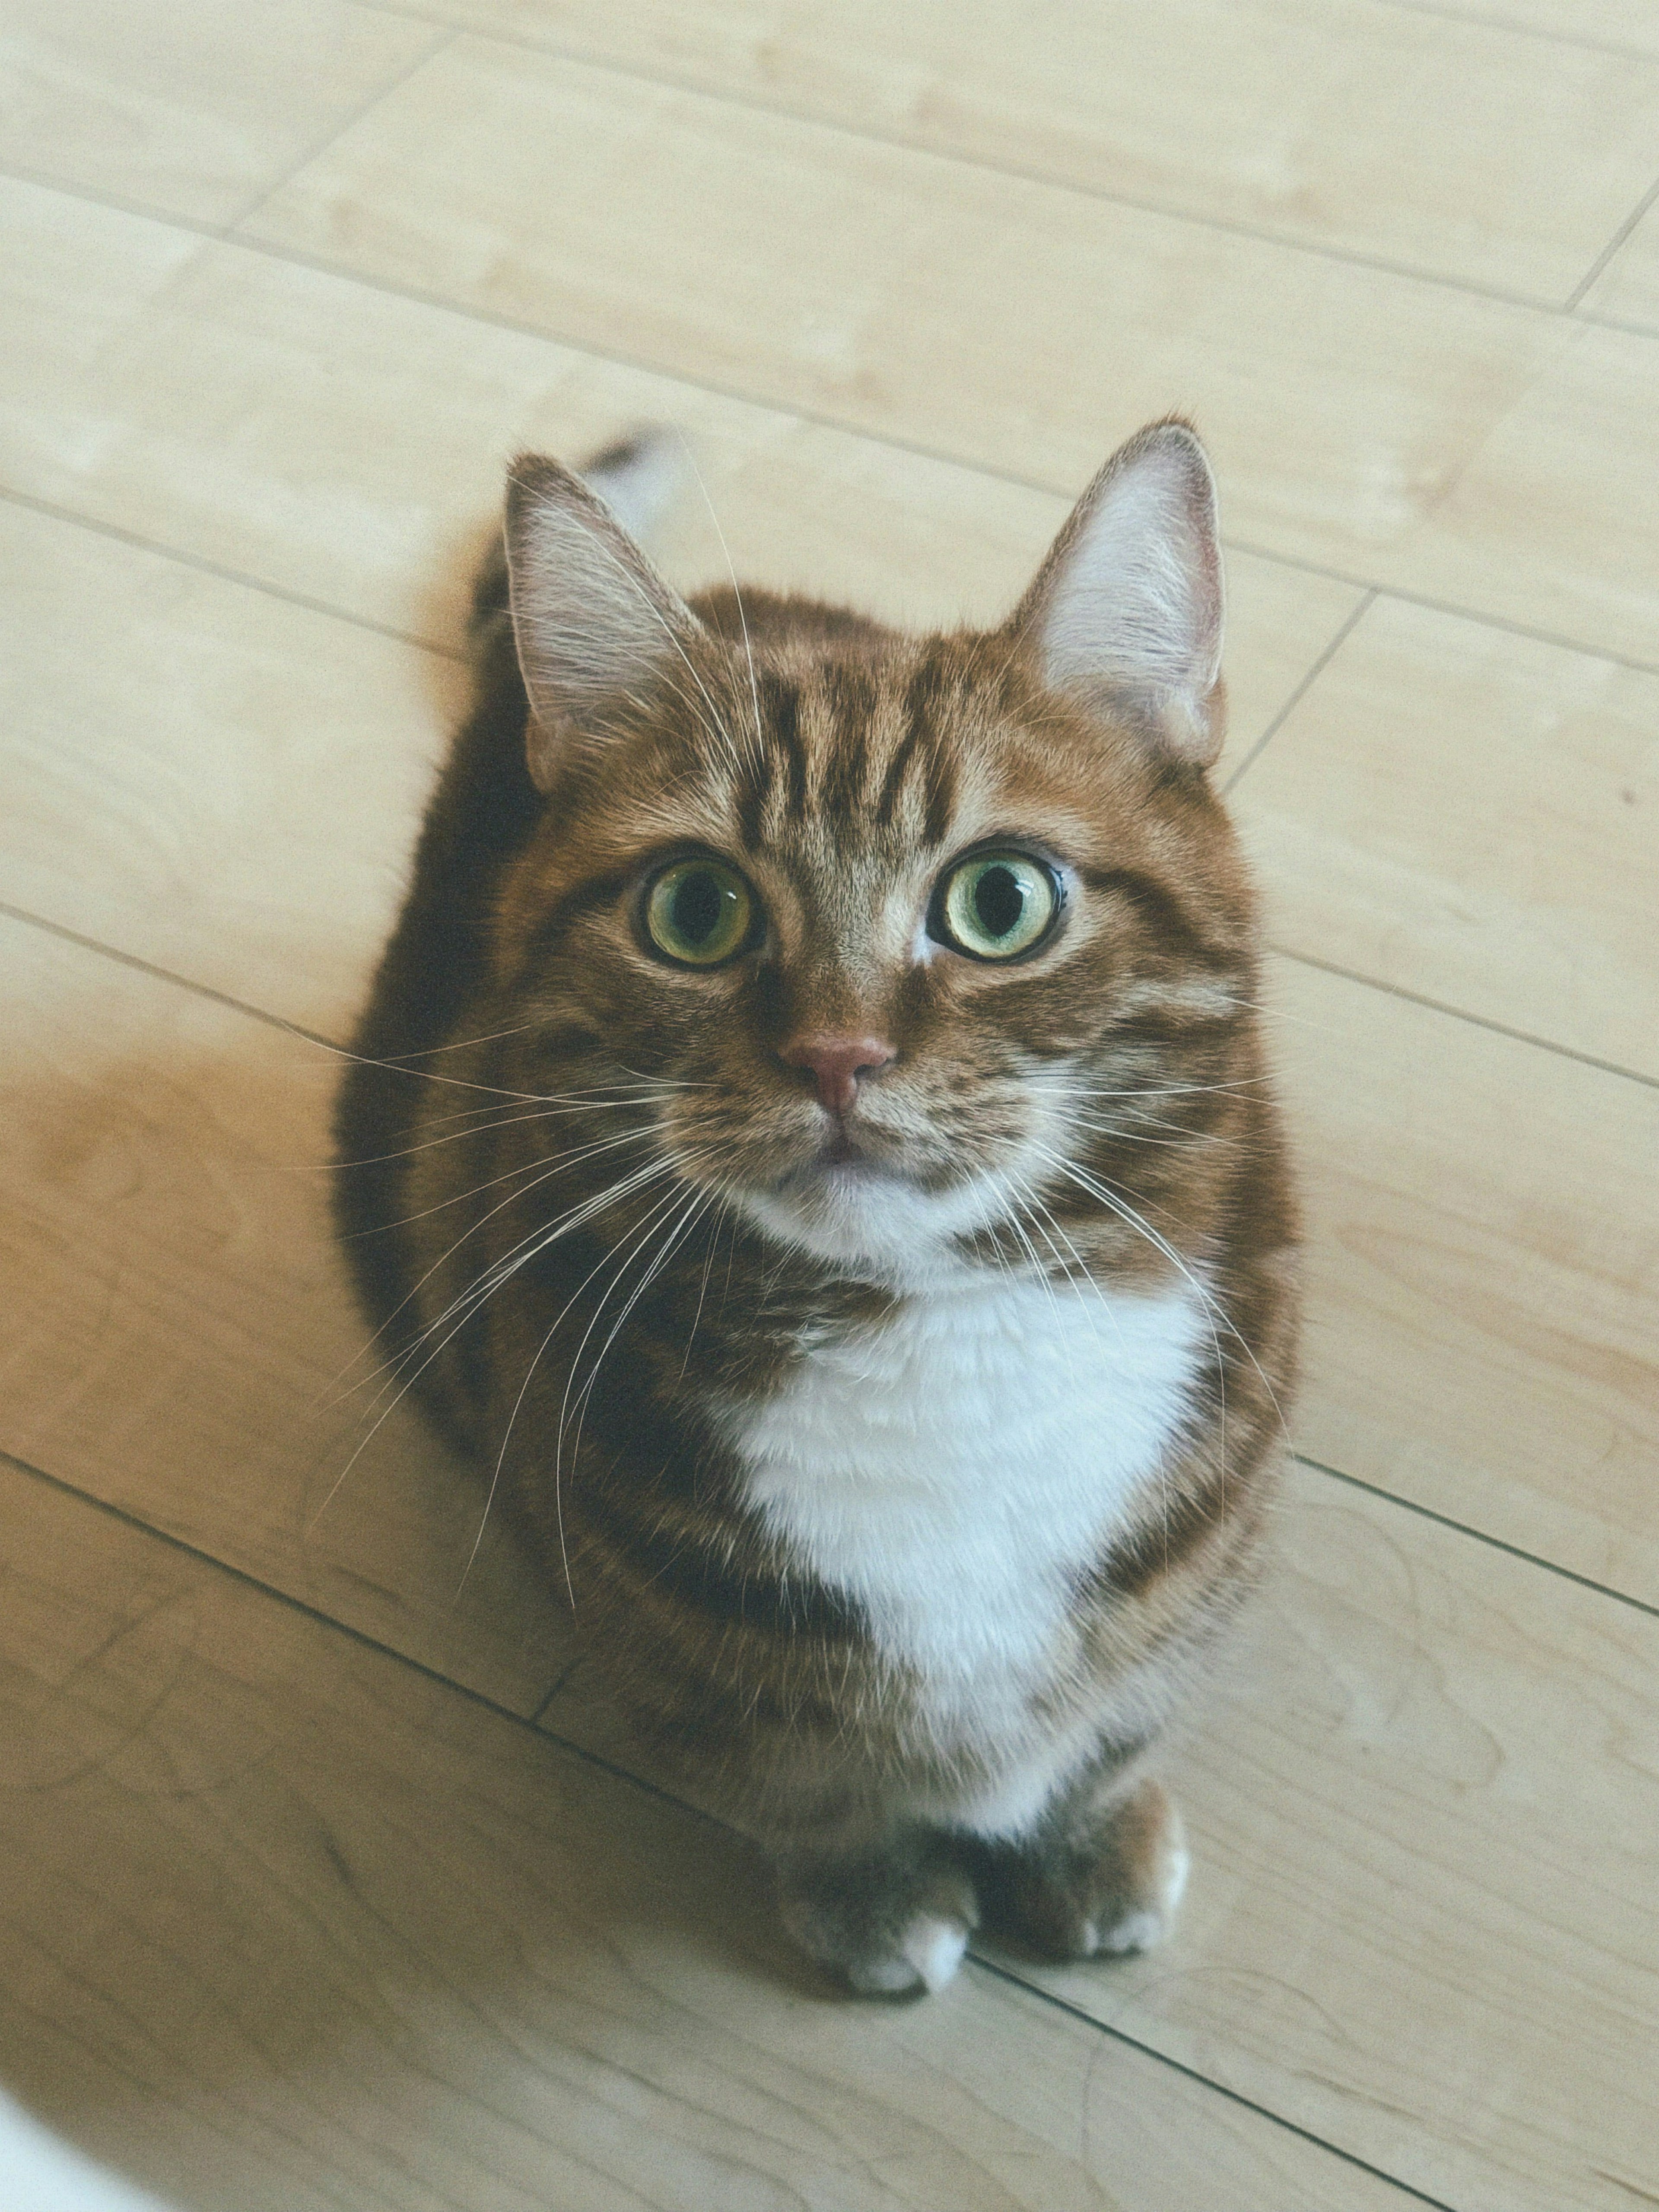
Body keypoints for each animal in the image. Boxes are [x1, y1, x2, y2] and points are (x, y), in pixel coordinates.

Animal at [334, 411, 1300, 1991]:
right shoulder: (682, 1668)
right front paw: (875, 1891)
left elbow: (1114, 1722)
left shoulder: (1193, 1578)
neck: (942, 1338)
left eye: (1001, 902)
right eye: (694, 911)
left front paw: (1087, 1840)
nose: (837, 1055)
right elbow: (797, 1785)